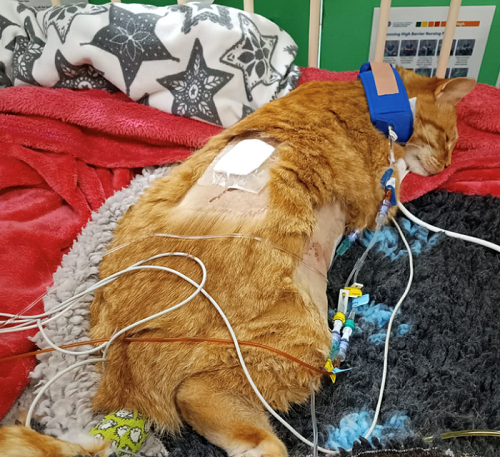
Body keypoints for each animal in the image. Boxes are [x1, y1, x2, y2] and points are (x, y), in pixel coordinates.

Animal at [0, 68, 472, 456]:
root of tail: (125, 376)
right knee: (200, 397)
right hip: (299, 337)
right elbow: (397, 183)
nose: (448, 163)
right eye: (451, 139)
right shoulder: (378, 197)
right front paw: (412, 171)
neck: (369, 95)